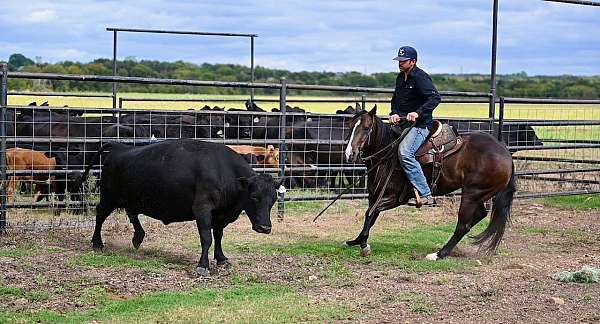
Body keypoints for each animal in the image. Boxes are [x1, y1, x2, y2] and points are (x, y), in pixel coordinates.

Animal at [77, 139, 282, 276]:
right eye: (254, 197)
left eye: (273, 199)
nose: (265, 227)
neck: (225, 174)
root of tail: (120, 148)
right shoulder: (202, 209)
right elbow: (207, 237)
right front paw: (203, 266)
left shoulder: (221, 215)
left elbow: (218, 236)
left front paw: (221, 258)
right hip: (109, 197)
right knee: (100, 215)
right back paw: (97, 243)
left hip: (131, 198)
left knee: (132, 213)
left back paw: (138, 237)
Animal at [342, 106, 516, 260]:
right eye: (350, 126)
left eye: (366, 128)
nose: (350, 154)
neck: (387, 156)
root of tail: (505, 153)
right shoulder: (376, 195)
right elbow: (371, 215)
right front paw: (356, 240)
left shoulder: (395, 198)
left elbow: (370, 213)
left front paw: (363, 245)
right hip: (478, 195)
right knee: (480, 215)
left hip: (471, 195)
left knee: (463, 225)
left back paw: (439, 254)